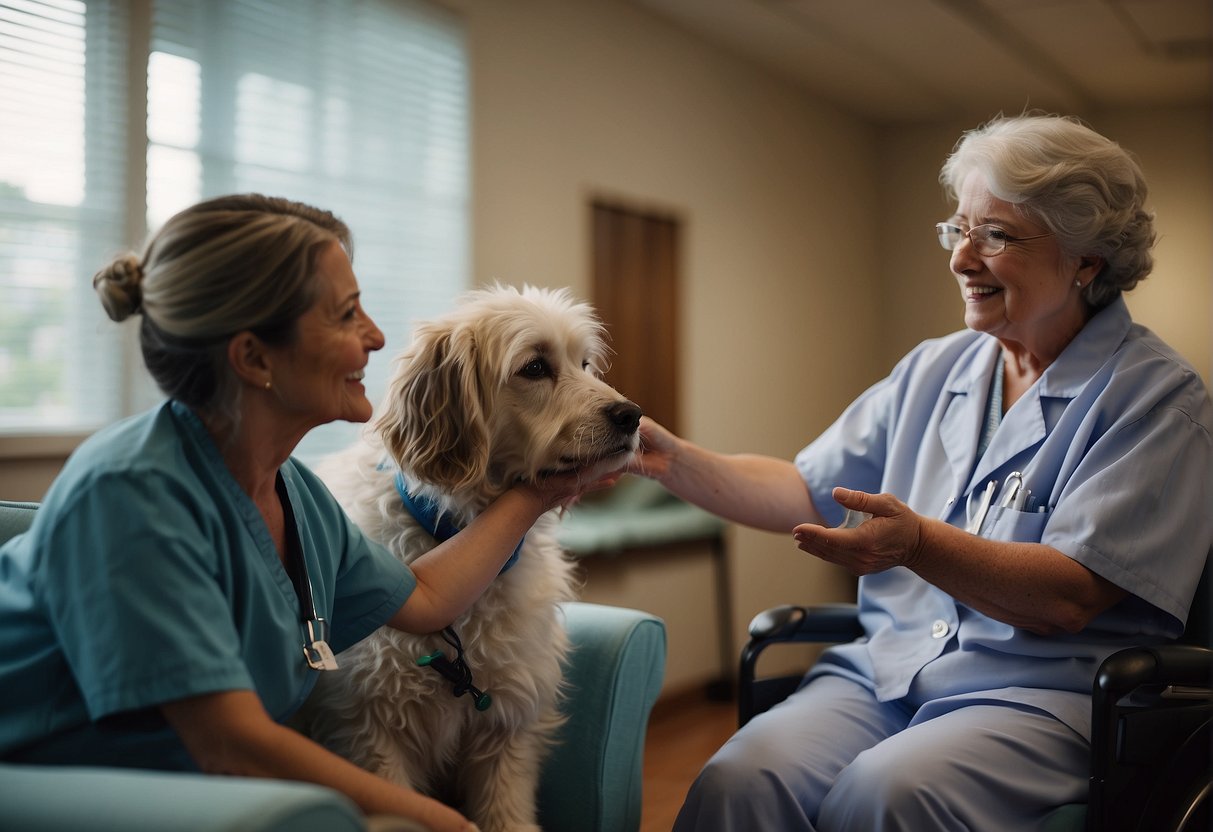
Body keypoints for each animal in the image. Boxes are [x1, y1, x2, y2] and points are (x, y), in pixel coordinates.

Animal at [303, 283, 645, 829]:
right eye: (535, 367)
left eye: (585, 364)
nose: (632, 415)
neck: (452, 534)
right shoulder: (368, 732)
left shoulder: (507, 728)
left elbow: (508, 815)